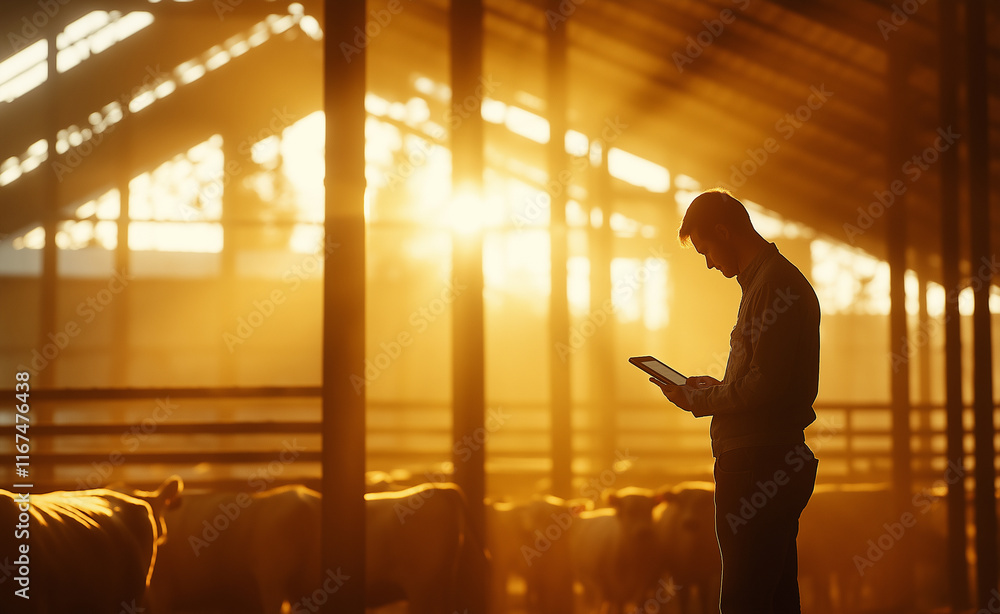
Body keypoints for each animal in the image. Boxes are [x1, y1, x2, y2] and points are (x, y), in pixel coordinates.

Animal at [656, 484, 720, 612]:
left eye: (703, 502)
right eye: (680, 502)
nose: (690, 522)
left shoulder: (704, 575)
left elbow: (704, 597)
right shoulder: (679, 574)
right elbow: (684, 600)